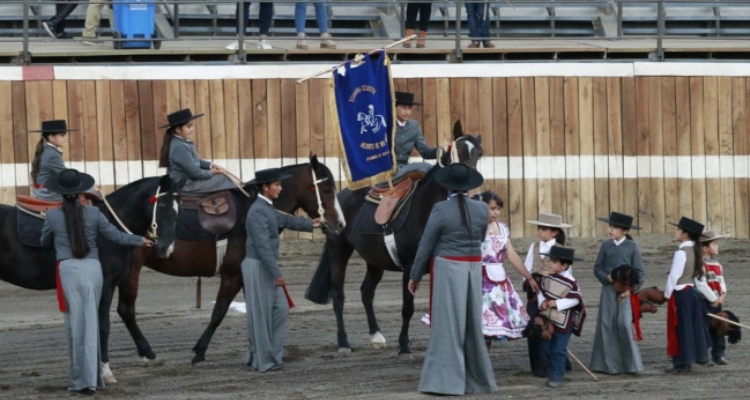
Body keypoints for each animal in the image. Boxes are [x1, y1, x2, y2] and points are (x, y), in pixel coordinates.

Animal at [0, 175, 181, 382]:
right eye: (162, 206)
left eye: (178, 210)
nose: (166, 248)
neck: (109, 227)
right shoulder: (106, 285)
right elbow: (103, 325)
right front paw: (105, 370)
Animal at [114, 154, 346, 366]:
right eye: (326, 190)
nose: (340, 224)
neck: (249, 210)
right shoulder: (233, 275)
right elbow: (219, 312)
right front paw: (200, 351)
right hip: (131, 271)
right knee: (126, 310)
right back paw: (147, 351)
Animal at [306, 121, 488, 356]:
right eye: (458, 150)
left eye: (479, 153)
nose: (470, 183)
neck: (426, 209)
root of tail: (340, 198)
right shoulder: (410, 266)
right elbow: (407, 307)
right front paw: (404, 345)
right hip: (339, 251)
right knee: (338, 295)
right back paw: (344, 342)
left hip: (374, 261)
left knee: (366, 292)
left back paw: (376, 336)